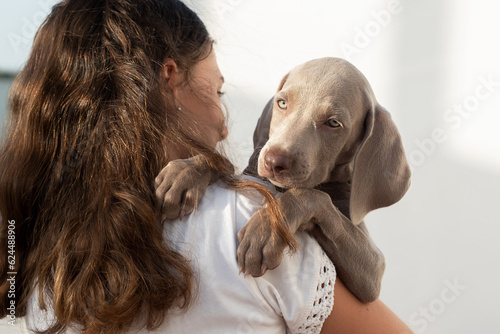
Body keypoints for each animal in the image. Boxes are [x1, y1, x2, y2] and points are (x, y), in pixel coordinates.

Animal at [155, 57, 410, 302]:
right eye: (282, 103)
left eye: (333, 123)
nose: (273, 161)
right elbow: (224, 164)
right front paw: (185, 173)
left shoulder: (374, 270)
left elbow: (312, 196)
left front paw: (266, 230)